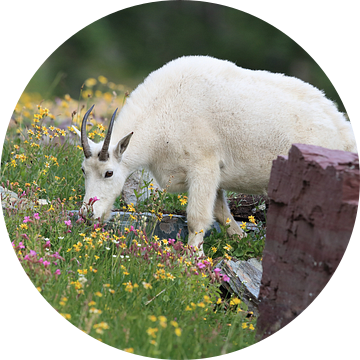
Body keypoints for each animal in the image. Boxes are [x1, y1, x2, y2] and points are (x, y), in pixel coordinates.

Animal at [74, 54, 358, 255]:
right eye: (83, 171)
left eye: (109, 173)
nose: (87, 215)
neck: (165, 109)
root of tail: (344, 133)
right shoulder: (215, 177)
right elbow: (222, 214)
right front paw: (242, 243)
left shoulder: (204, 166)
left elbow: (197, 217)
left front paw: (192, 260)